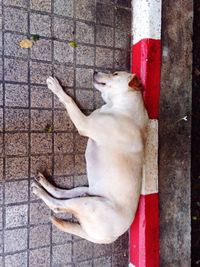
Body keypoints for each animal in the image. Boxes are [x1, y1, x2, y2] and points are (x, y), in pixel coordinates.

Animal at [32, 70, 148, 245]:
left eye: (115, 73)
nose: (95, 71)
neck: (123, 107)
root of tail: (109, 238)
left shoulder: (84, 124)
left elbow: (70, 100)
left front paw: (58, 89)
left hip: (89, 203)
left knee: (57, 205)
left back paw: (40, 192)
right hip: (86, 191)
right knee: (61, 194)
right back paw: (45, 183)